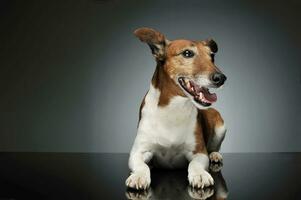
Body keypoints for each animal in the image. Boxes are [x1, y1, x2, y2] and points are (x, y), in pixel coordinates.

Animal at [125, 27, 226, 190]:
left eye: (212, 56)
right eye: (187, 53)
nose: (221, 78)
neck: (173, 108)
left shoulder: (199, 152)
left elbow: (195, 164)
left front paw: (200, 174)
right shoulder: (138, 151)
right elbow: (142, 165)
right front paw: (139, 176)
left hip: (220, 125)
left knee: (213, 148)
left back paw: (215, 155)